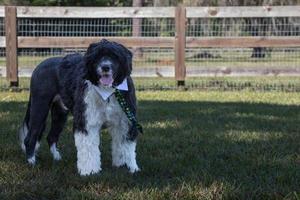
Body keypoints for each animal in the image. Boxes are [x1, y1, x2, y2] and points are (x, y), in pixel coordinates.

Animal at [19, 39, 141, 175]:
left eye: (115, 56)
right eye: (97, 57)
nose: (105, 67)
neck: (107, 91)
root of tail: (39, 66)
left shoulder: (124, 122)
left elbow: (125, 146)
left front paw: (128, 167)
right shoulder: (87, 121)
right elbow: (88, 148)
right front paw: (89, 171)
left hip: (59, 113)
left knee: (51, 137)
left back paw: (57, 158)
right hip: (40, 106)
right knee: (30, 137)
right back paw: (31, 162)